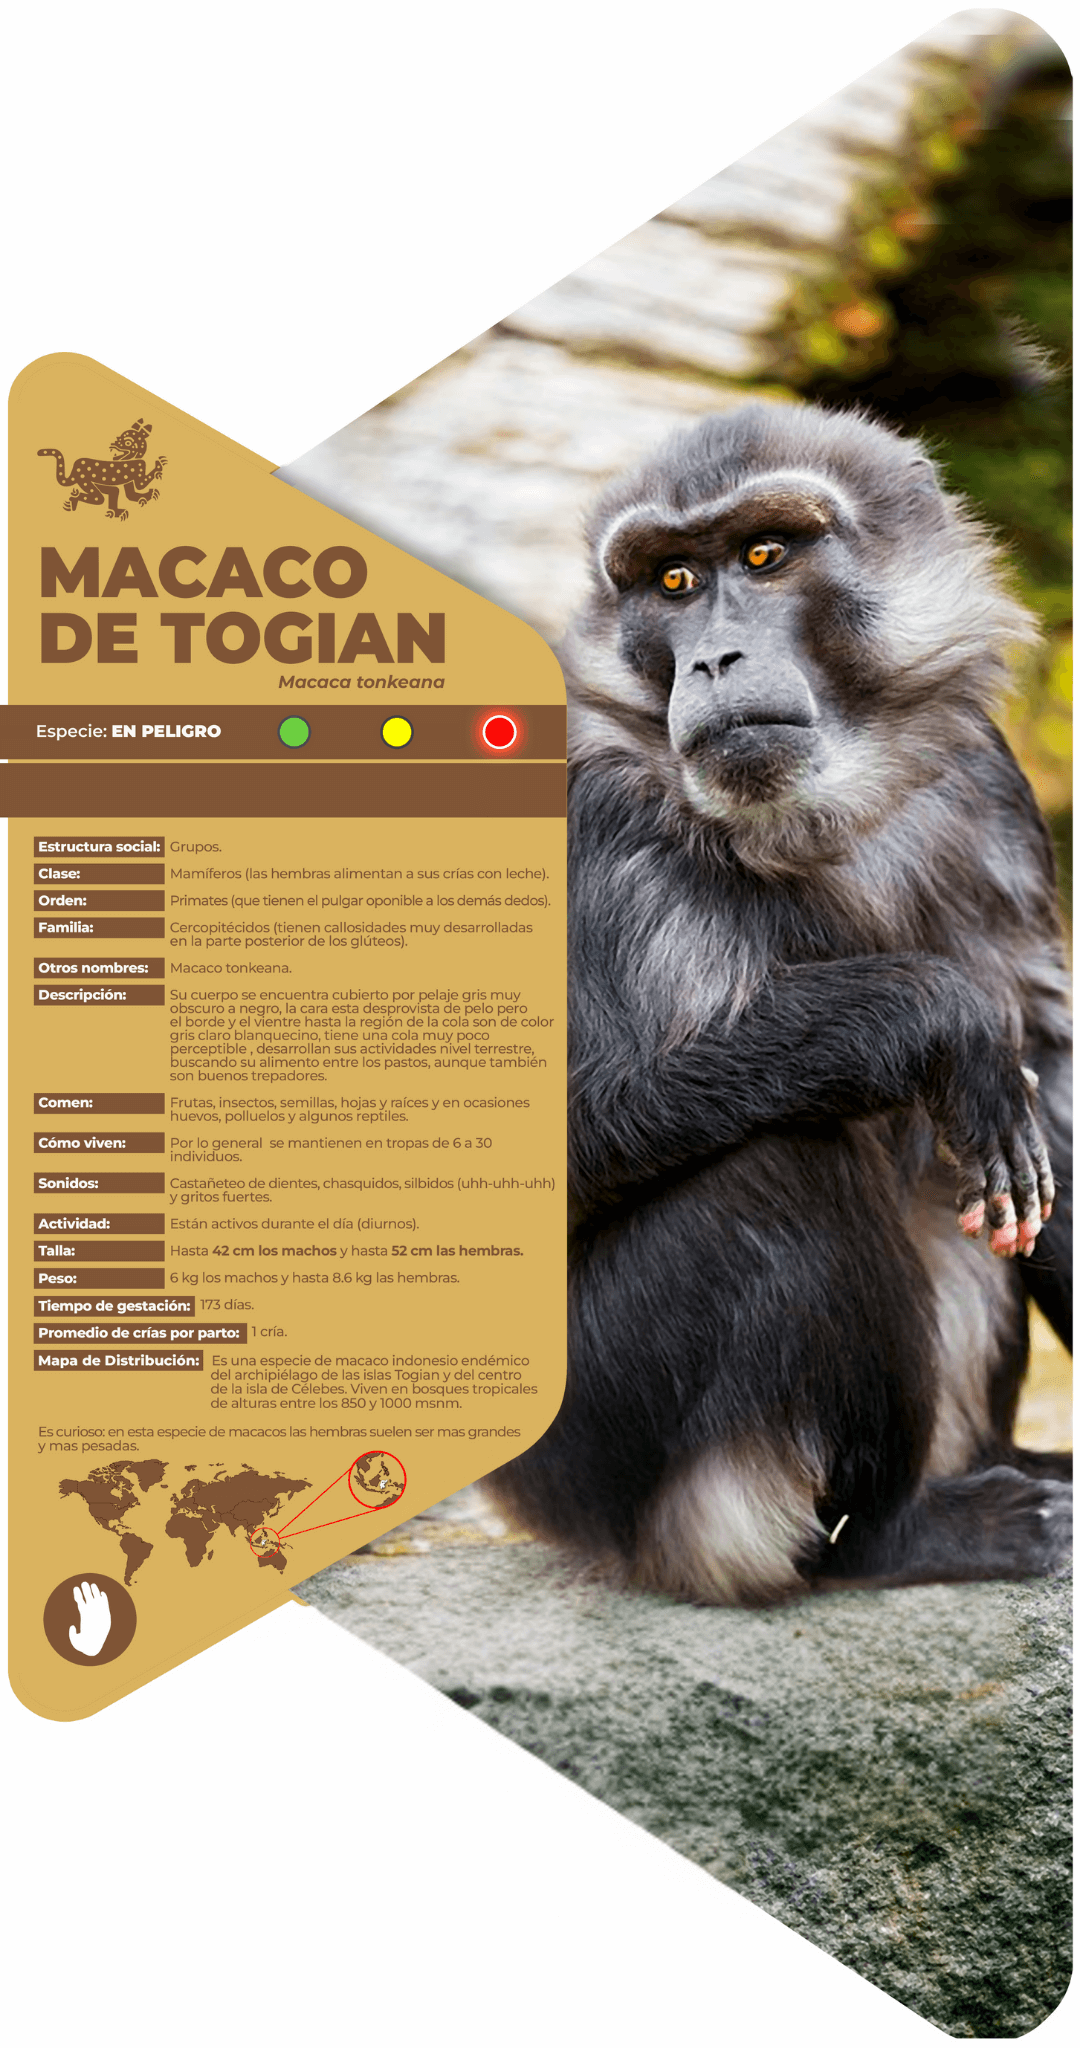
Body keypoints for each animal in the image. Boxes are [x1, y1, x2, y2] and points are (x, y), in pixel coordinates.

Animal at [487, 401, 1072, 1605]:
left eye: (763, 556)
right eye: (671, 581)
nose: (713, 654)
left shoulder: (987, 780)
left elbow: (1050, 1065)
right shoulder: (593, 815)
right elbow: (564, 1129)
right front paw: (932, 1018)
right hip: (614, 1470)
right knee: (782, 1158)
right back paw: (887, 1538)